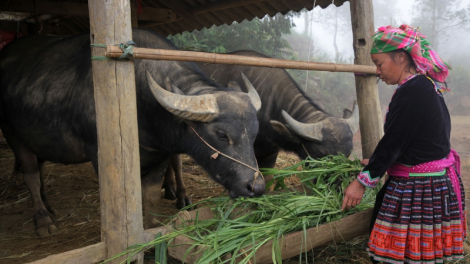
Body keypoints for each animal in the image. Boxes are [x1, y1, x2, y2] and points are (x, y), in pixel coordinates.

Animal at [0, 30, 264, 237]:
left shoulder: (159, 155)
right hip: (14, 136)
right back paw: (43, 220)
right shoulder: (102, 156)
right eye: (221, 134)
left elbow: (151, 196)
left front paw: (153, 227)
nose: (256, 187)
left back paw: (49, 207)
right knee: (31, 175)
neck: (144, 103)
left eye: (254, 135)